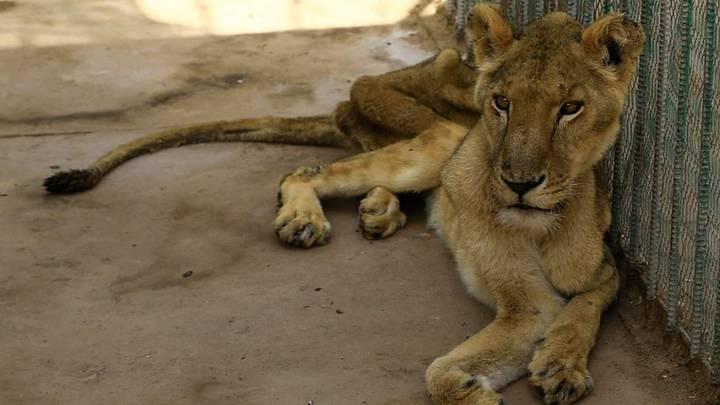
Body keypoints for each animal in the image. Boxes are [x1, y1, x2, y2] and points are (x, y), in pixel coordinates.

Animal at [42, 4, 644, 402]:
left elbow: (584, 310)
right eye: (502, 102)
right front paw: (479, 389)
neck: (543, 225)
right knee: (305, 171)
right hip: (441, 139)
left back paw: (380, 211)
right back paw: (305, 219)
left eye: (570, 108)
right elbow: (440, 373)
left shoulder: (605, 273)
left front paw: (561, 364)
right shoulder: (526, 304)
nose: (519, 182)